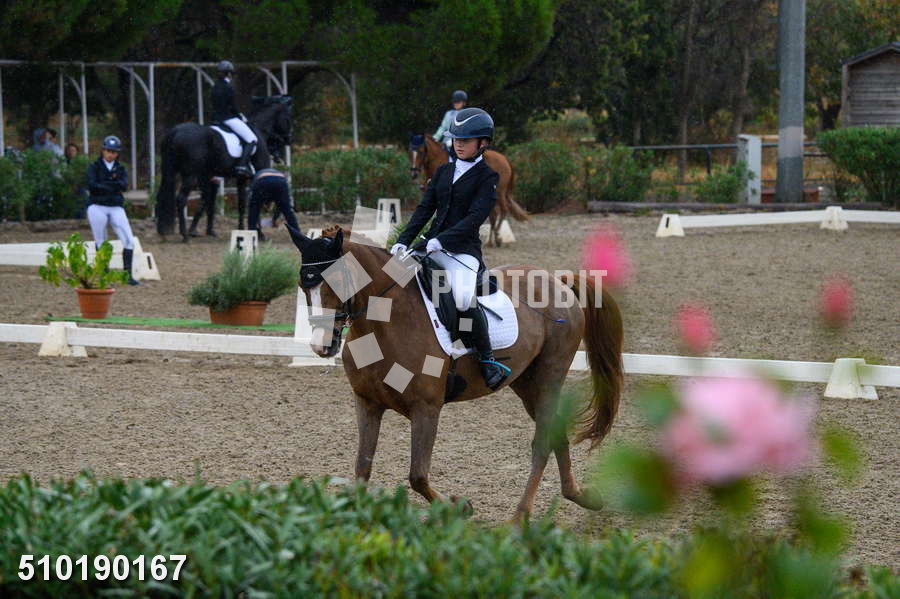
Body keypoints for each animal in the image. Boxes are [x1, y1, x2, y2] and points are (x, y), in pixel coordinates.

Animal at [155, 95, 293, 241]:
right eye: (288, 118)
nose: (289, 139)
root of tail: (175, 131)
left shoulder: (240, 178)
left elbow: (239, 204)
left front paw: (241, 230)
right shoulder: (257, 176)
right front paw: (259, 233)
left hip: (170, 171)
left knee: (163, 195)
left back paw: (164, 232)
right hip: (190, 176)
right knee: (181, 199)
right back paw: (185, 235)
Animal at [287, 224, 623, 520]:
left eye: (335, 282)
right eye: (304, 286)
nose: (321, 345)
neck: (384, 324)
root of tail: (557, 279)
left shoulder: (426, 408)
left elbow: (417, 475)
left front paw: (458, 506)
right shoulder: (367, 403)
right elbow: (362, 468)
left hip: (550, 375)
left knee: (541, 442)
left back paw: (520, 517)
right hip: (527, 384)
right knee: (555, 432)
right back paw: (580, 496)